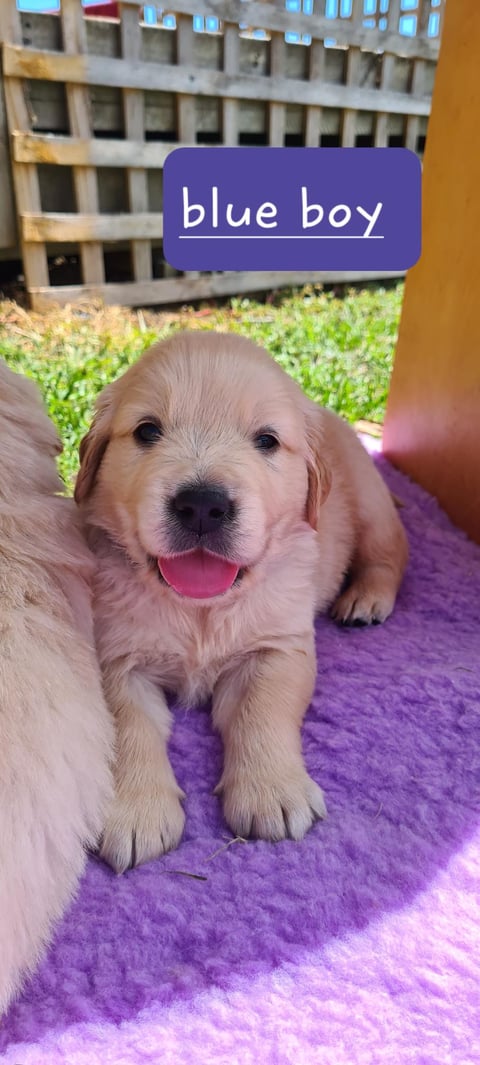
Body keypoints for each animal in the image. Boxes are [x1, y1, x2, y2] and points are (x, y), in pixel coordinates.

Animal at [76, 332, 408, 873]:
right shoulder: (115, 656)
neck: (201, 608)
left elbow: (263, 709)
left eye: (267, 440)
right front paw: (135, 812)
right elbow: (127, 725)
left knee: (390, 552)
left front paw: (272, 793)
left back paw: (366, 598)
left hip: (372, 500)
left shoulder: (278, 646)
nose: (202, 504)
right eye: (147, 431)